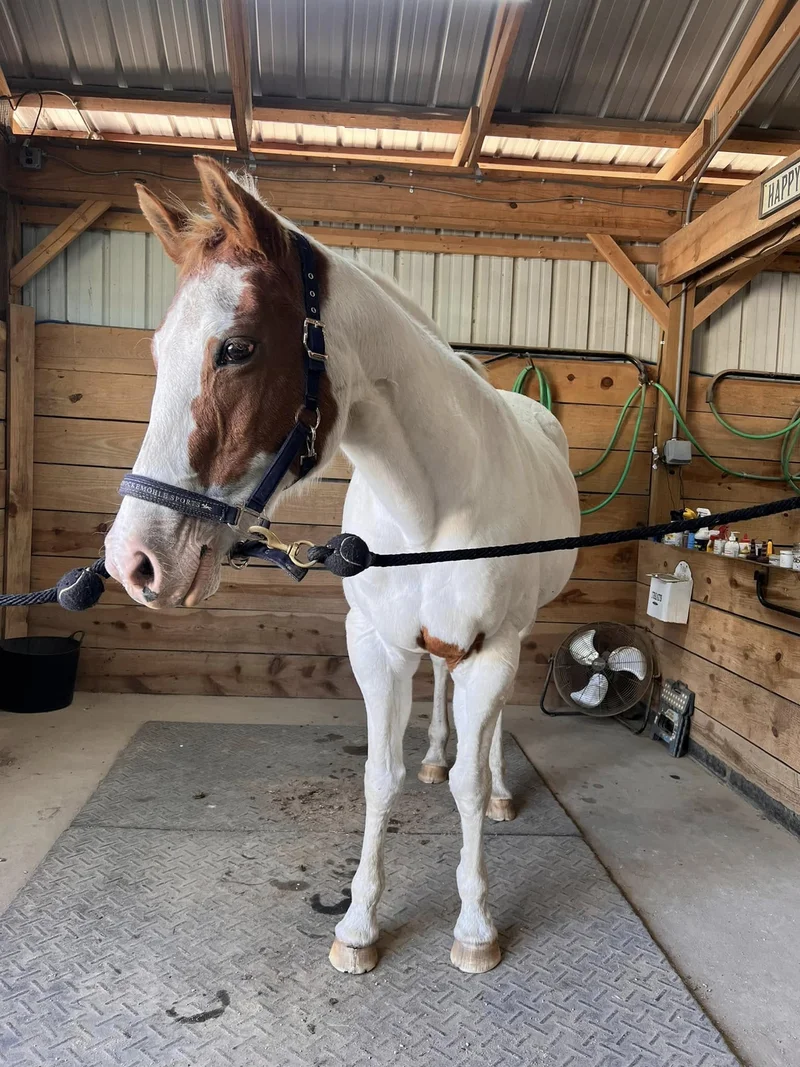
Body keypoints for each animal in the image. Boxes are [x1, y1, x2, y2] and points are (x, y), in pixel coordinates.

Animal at [104, 155, 581, 976]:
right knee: (439, 697)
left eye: (237, 348)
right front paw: (358, 925)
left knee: (484, 741)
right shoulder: (378, 647)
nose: (135, 560)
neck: (428, 507)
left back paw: (495, 788)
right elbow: (380, 777)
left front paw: (475, 928)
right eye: (160, 349)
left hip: (515, 636)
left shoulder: (490, 649)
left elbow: (466, 782)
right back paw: (436, 755)